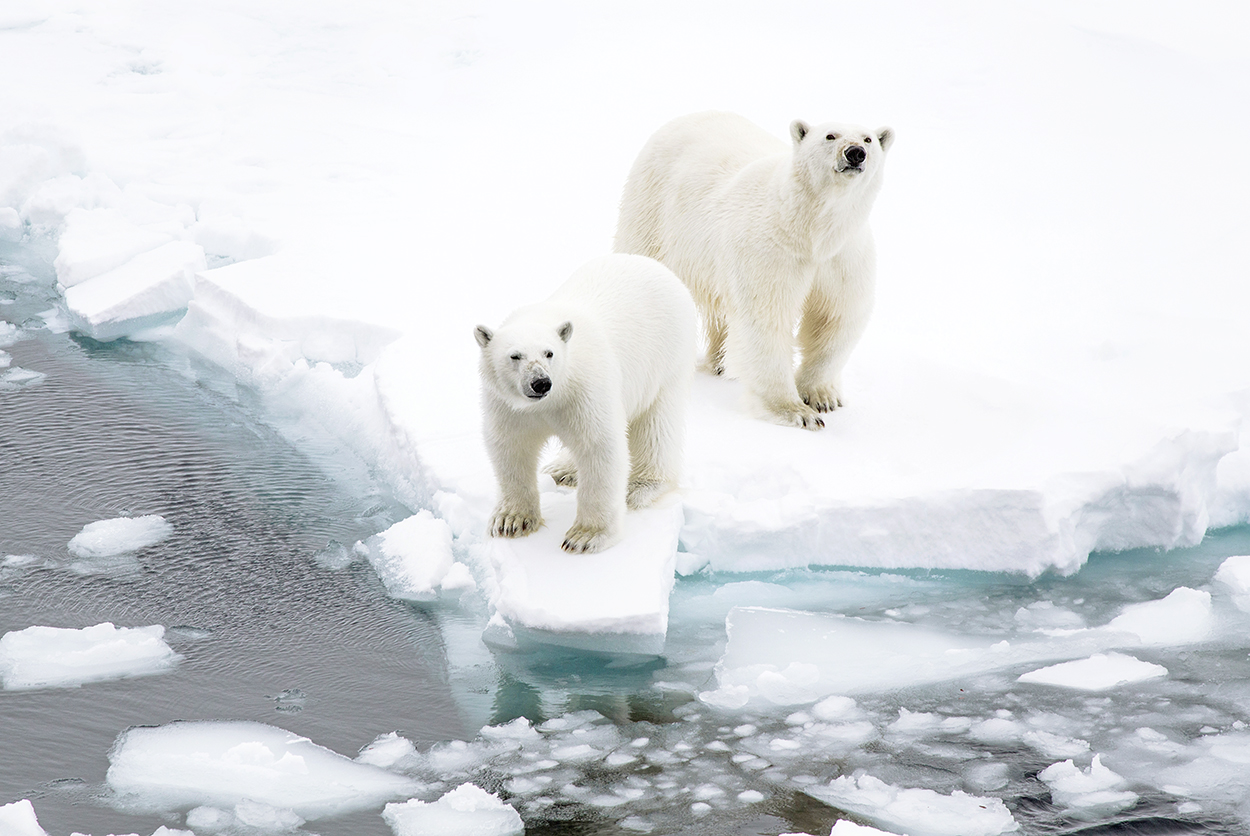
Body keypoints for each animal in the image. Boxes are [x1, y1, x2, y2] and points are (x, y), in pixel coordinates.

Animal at [472, 254, 700, 554]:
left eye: (549, 353)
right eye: (515, 356)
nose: (540, 383)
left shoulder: (584, 391)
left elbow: (599, 447)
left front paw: (584, 537)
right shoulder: (507, 404)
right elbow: (510, 446)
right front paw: (511, 520)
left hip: (668, 357)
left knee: (657, 424)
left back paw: (641, 486)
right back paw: (561, 470)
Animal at [612, 110, 890, 429]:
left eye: (868, 139)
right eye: (830, 135)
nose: (855, 153)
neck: (810, 229)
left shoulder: (844, 257)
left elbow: (836, 317)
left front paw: (823, 398)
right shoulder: (771, 250)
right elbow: (766, 318)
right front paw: (795, 411)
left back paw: (721, 364)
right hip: (652, 208)